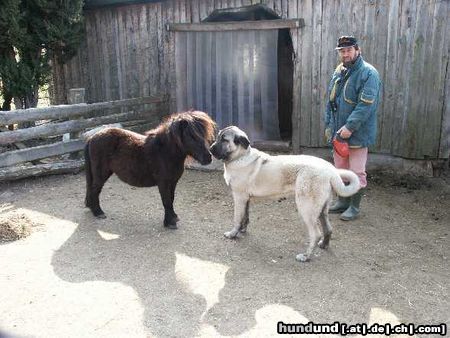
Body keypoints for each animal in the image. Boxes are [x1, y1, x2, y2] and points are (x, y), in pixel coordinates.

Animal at [86, 109, 218, 228]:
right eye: (191, 136)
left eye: (203, 134)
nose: (208, 157)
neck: (164, 152)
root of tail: (92, 137)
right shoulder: (163, 183)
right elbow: (166, 201)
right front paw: (169, 223)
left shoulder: (173, 182)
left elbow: (171, 199)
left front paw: (173, 217)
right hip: (101, 174)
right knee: (95, 190)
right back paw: (98, 212)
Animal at [209, 126, 360, 262]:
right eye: (218, 137)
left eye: (224, 140)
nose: (210, 149)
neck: (240, 156)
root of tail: (330, 170)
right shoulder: (246, 199)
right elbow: (245, 217)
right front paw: (242, 230)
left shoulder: (239, 197)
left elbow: (237, 218)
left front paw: (233, 234)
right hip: (322, 210)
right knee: (328, 229)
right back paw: (323, 245)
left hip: (306, 208)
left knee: (316, 234)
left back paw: (305, 256)